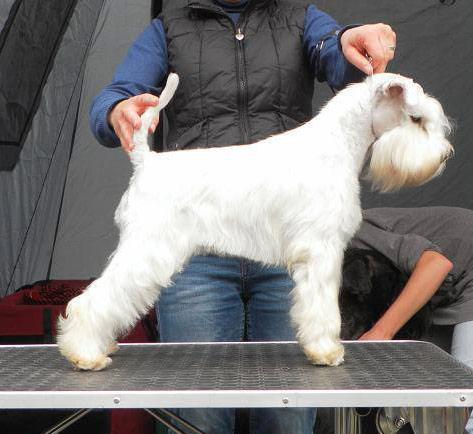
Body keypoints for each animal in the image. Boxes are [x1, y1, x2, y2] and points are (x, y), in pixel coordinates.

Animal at [57, 72, 452, 370]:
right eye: (417, 119)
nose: (445, 155)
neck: (336, 145)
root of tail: (146, 161)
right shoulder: (321, 251)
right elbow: (323, 307)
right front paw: (326, 351)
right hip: (146, 250)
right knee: (94, 299)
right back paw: (86, 354)